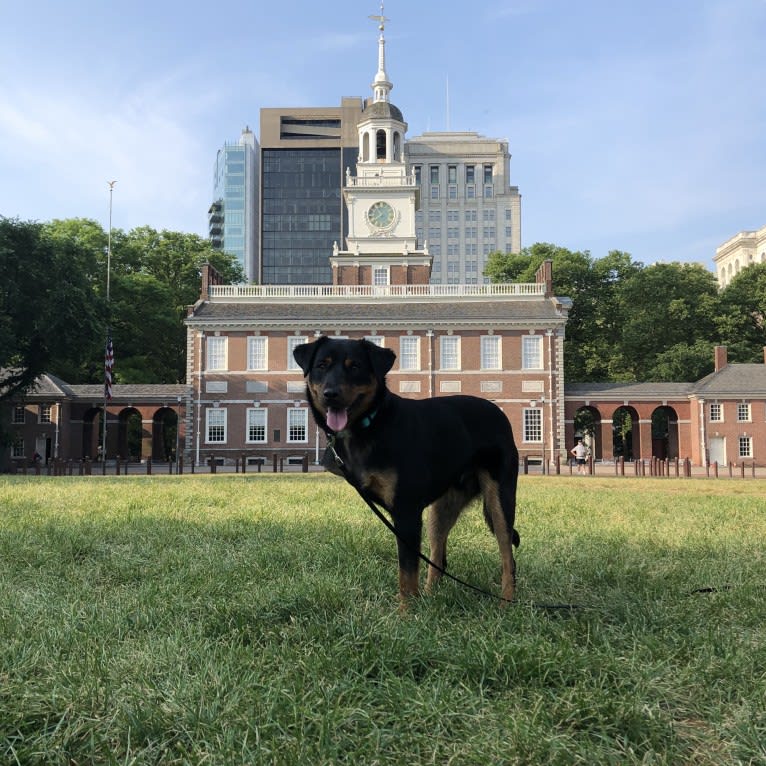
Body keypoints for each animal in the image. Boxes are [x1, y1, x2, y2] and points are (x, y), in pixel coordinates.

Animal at [294, 336, 520, 608]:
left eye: (355, 366)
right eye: (321, 365)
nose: (331, 394)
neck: (372, 423)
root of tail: (499, 413)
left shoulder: (407, 511)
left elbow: (407, 573)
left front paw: (406, 612)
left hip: (500, 499)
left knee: (507, 557)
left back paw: (506, 602)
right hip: (442, 508)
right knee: (438, 557)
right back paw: (431, 596)